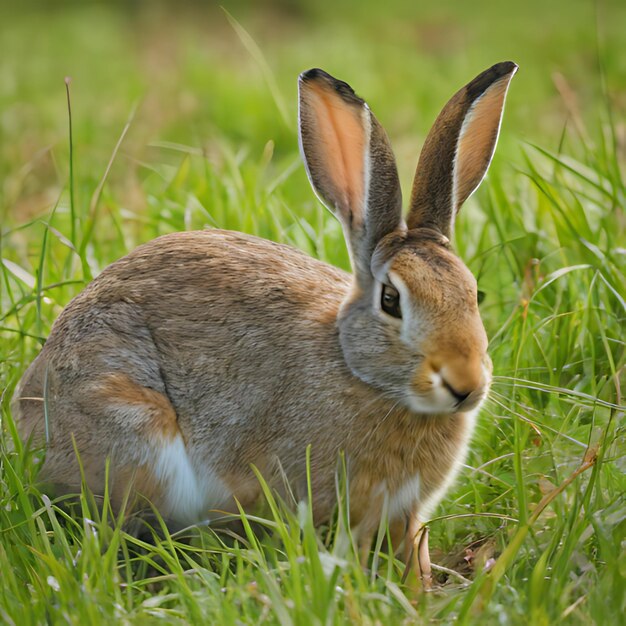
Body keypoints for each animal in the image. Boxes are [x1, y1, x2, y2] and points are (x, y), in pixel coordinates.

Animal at [12, 62, 516, 572]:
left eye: (474, 293)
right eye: (391, 299)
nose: (465, 383)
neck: (360, 373)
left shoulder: (406, 514)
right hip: (131, 425)